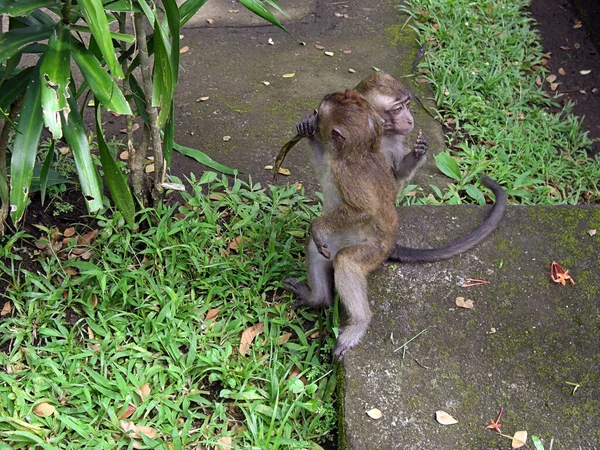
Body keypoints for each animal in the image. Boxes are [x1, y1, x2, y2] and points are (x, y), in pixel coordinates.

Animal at [284, 89, 398, 360]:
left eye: (321, 116)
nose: (313, 120)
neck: (357, 152)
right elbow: (320, 164)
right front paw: (304, 127)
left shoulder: (345, 174)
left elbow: (364, 209)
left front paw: (317, 225)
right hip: (339, 239)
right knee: (317, 250)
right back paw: (318, 299)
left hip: (374, 253)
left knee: (345, 261)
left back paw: (359, 323)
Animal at [292, 72, 506, 264]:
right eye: (397, 109)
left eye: (407, 105)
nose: (410, 119)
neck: (380, 133)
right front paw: (308, 123)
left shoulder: (395, 137)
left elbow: (396, 174)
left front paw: (419, 150)